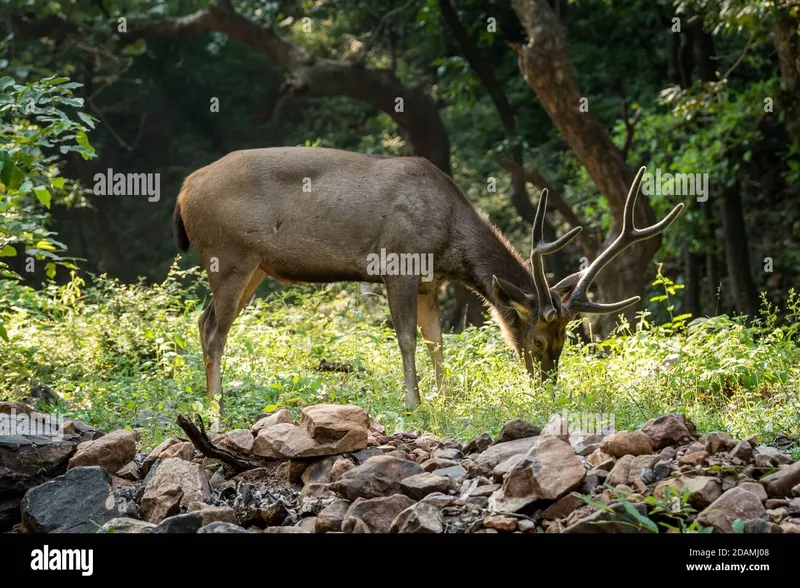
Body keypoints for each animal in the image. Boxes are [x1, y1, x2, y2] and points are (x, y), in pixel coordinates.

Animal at [173, 148, 680, 414]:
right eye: (538, 340)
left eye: (566, 341)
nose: (546, 385)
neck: (448, 240)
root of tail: (182, 190)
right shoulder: (398, 263)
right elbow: (407, 339)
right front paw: (414, 403)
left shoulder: (428, 282)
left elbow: (438, 340)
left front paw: (445, 398)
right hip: (229, 255)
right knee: (214, 330)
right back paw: (216, 410)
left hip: (253, 267)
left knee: (201, 322)